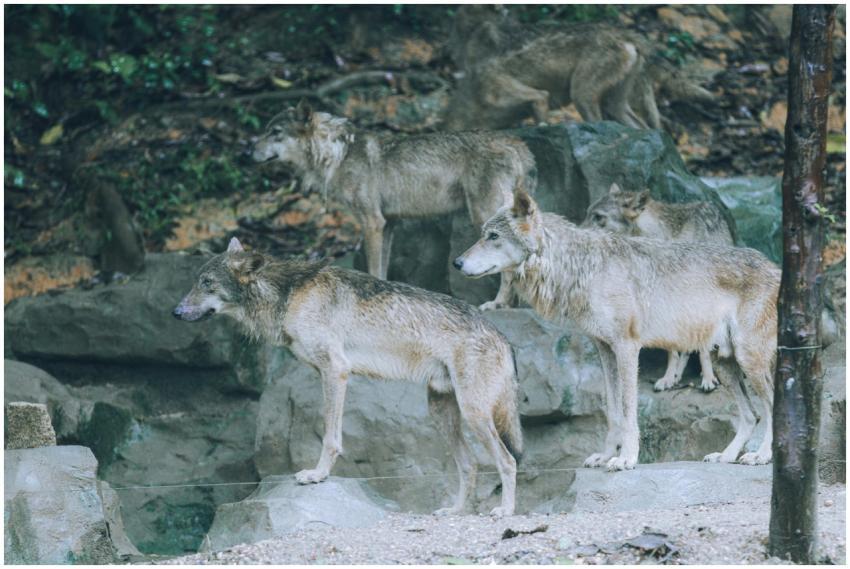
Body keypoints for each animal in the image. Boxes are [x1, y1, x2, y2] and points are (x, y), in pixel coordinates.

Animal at [173, 237, 523, 516]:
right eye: (196, 281)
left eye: (207, 283)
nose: (175, 312)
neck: (288, 294)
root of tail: (503, 337)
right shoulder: (326, 372)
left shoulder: (335, 371)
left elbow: (330, 437)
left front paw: (317, 475)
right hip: (442, 414)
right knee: (470, 464)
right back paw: (454, 511)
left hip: (473, 414)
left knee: (508, 461)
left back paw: (504, 511)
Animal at [253, 100, 536, 310]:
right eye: (266, 130)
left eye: (275, 133)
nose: (247, 153)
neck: (338, 154)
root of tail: (518, 145)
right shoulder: (388, 224)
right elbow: (382, 271)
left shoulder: (372, 223)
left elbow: (374, 269)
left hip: (484, 218)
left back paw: (497, 304)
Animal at [583, 183, 735, 392]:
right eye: (588, 213)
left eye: (598, 217)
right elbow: (671, 350)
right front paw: (668, 377)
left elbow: (703, 349)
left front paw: (708, 379)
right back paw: (677, 376)